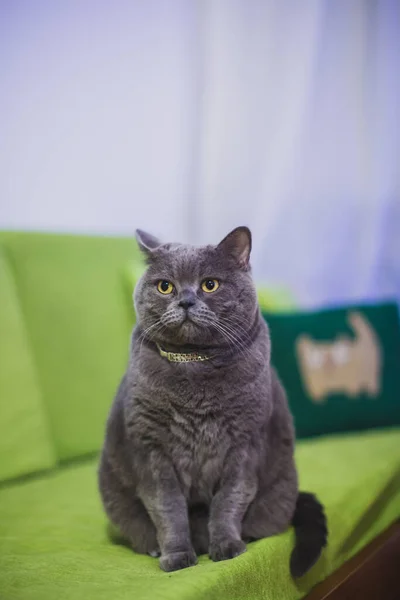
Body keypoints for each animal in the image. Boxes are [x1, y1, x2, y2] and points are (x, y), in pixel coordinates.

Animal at [98, 226, 326, 576]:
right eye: (165, 286)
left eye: (210, 284)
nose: (186, 300)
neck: (195, 365)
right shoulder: (152, 449)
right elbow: (168, 508)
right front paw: (177, 556)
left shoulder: (245, 444)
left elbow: (229, 500)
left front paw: (228, 547)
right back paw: (156, 547)